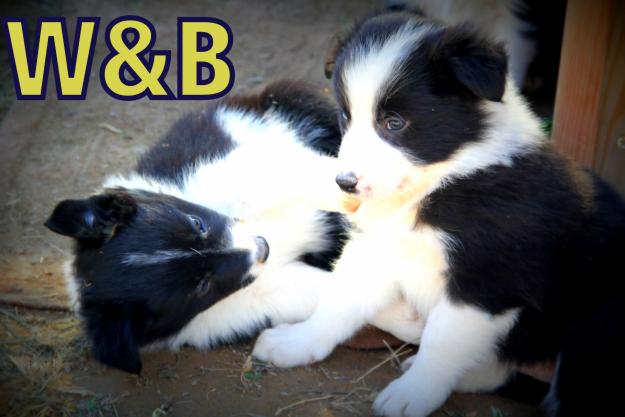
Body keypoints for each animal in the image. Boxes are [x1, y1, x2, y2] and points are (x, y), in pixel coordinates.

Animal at [46, 79, 422, 372]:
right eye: (200, 286)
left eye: (196, 223)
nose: (262, 247)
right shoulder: (253, 294)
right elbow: (330, 290)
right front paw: (407, 321)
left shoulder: (237, 166)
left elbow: (294, 174)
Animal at [252, 13, 624, 416]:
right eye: (344, 117)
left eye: (393, 123)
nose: (344, 183)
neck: (436, 184)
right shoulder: (379, 248)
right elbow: (339, 299)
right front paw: (297, 342)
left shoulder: (484, 281)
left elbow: (442, 340)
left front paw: (412, 394)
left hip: (592, 324)